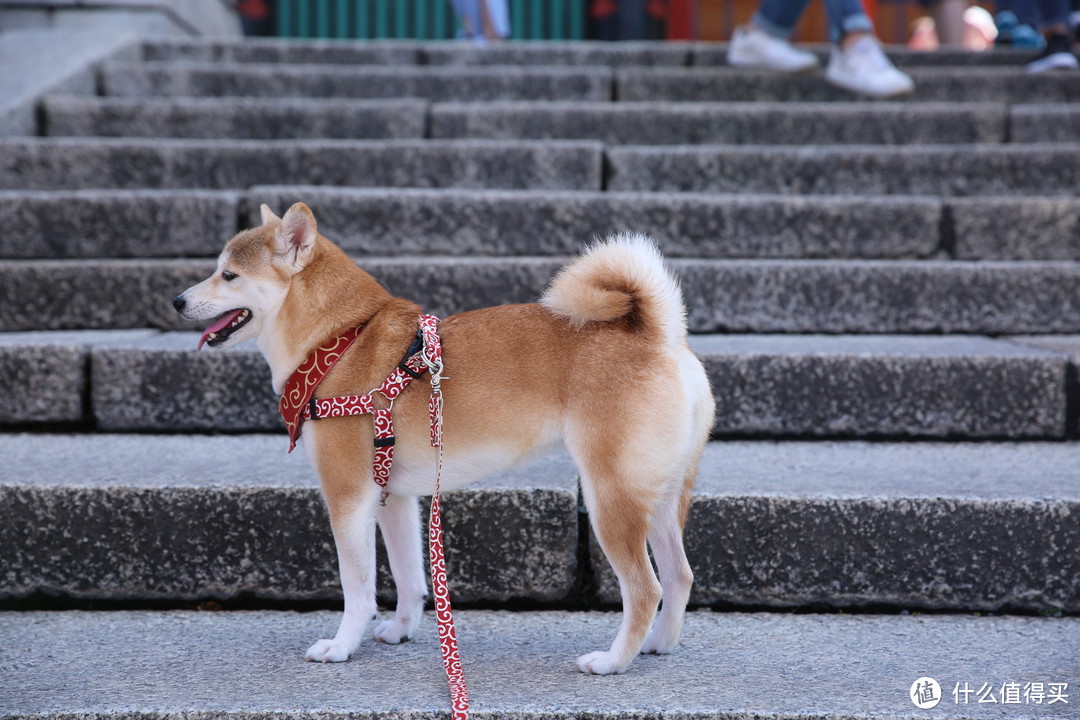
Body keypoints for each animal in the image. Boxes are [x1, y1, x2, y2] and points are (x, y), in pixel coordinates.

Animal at [172, 202, 717, 677]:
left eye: (229, 275)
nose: (177, 301)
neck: (338, 341)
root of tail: (658, 335)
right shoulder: (392, 496)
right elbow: (410, 576)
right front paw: (401, 630)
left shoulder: (347, 497)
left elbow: (358, 588)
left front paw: (342, 645)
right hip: (660, 494)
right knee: (679, 576)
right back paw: (657, 645)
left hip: (612, 497)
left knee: (645, 589)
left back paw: (613, 661)